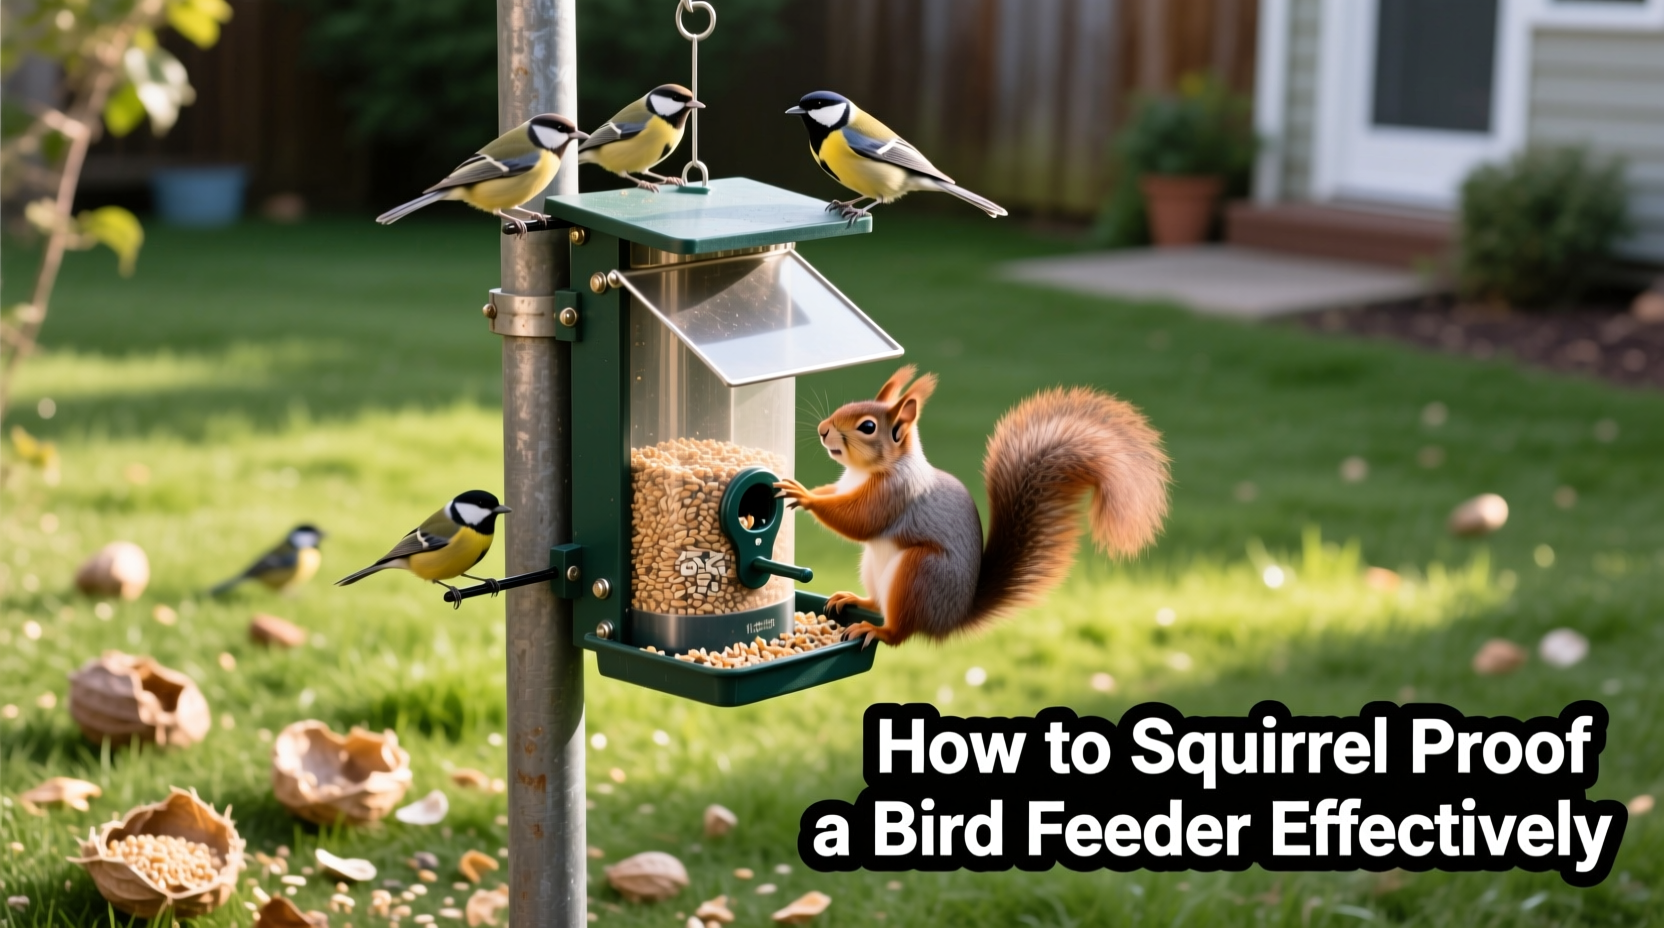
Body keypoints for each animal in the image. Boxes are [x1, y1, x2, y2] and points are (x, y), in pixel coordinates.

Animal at [773, 365, 1170, 647]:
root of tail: (953, 619)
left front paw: (804, 495)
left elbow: (858, 521)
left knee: (900, 630)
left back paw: (877, 631)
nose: (823, 429)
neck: (866, 472)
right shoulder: (846, 484)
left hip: (920, 574)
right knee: (879, 604)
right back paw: (855, 600)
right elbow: (834, 494)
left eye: (867, 427)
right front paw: (809, 488)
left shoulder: (895, 496)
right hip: (874, 567)